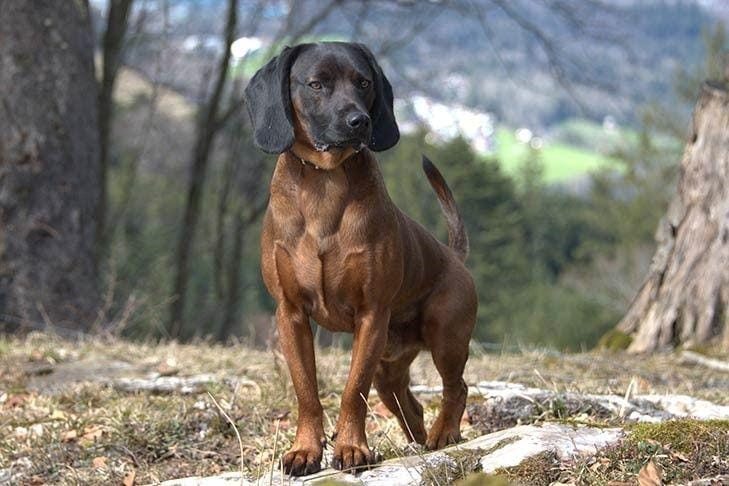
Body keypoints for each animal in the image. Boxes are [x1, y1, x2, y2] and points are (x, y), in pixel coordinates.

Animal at [245, 41, 478, 474]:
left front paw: (352, 449)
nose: (360, 121)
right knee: (409, 404)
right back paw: (419, 443)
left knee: (456, 388)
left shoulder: (371, 315)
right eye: (316, 84)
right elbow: (306, 390)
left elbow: (353, 390)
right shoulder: (291, 314)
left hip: (445, 337)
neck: (325, 181)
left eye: (364, 82)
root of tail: (453, 256)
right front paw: (305, 450)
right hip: (390, 365)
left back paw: (444, 435)